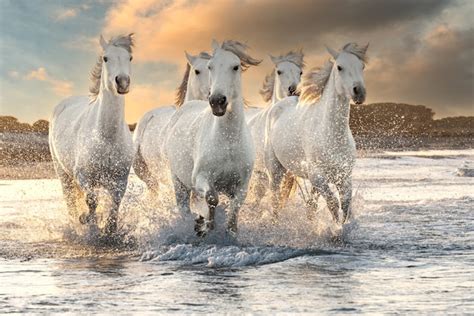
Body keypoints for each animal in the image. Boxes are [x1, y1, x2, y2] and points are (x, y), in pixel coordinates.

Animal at [49, 35, 134, 237]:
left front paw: (109, 229)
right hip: (63, 174)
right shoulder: (84, 176)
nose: (122, 82)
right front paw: (86, 220)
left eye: (130, 58)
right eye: (105, 58)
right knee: (71, 202)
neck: (107, 137)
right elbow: (92, 201)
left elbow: (114, 206)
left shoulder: (120, 180)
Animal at [163, 39, 262, 236]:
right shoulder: (200, 178)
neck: (228, 140)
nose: (217, 101)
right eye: (211, 67)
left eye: (236, 66)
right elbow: (212, 198)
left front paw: (230, 231)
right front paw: (205, 225)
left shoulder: (242, 186)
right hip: (179, 182)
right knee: (184, 208)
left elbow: (234, 210)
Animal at [264, 43, 368, 223]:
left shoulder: (344, 177)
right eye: (339, 67)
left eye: (362, 66)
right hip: (275, 170)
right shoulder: (318, 177)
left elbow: (345, 205)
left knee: (309, 204)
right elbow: (333, 204)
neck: (330, 134)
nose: (359, 92)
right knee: (275, 199)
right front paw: (335, 228)